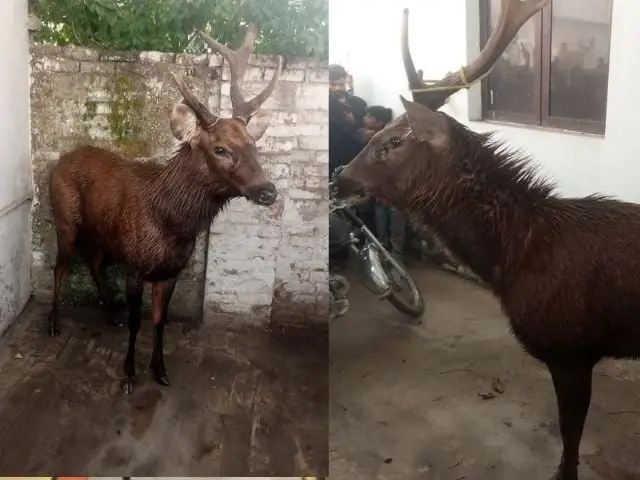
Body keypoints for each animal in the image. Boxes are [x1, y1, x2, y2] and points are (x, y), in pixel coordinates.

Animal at [48, 23, 283, 395]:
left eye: (253, 145)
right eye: (220, 149)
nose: (267, 191)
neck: (171, 225)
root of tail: (58, 162)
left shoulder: (171, 271)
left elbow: (160, 322)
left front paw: (159, 370)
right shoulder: (135, 265)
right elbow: (137, 322)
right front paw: (128, 374)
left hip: (103, 233)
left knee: (94, 261)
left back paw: (109, 314)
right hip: (65, 218)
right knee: (60, 267)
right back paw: (54, 323)